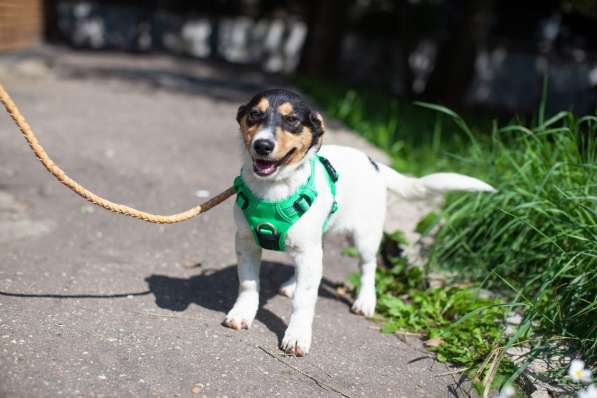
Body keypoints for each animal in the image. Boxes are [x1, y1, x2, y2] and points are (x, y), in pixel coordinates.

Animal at [224, 88, 494, 356]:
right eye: (254, 114)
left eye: (292, 120)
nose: (262, 145)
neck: (275, 188)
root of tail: (375, 164)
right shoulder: (246, 243)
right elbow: (248, 284)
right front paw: (243, 313)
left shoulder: (307, 251)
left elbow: (305, 299)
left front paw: (298, 335)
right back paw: (292, 284)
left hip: (365, 237)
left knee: (368, 266)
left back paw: (365, 300)